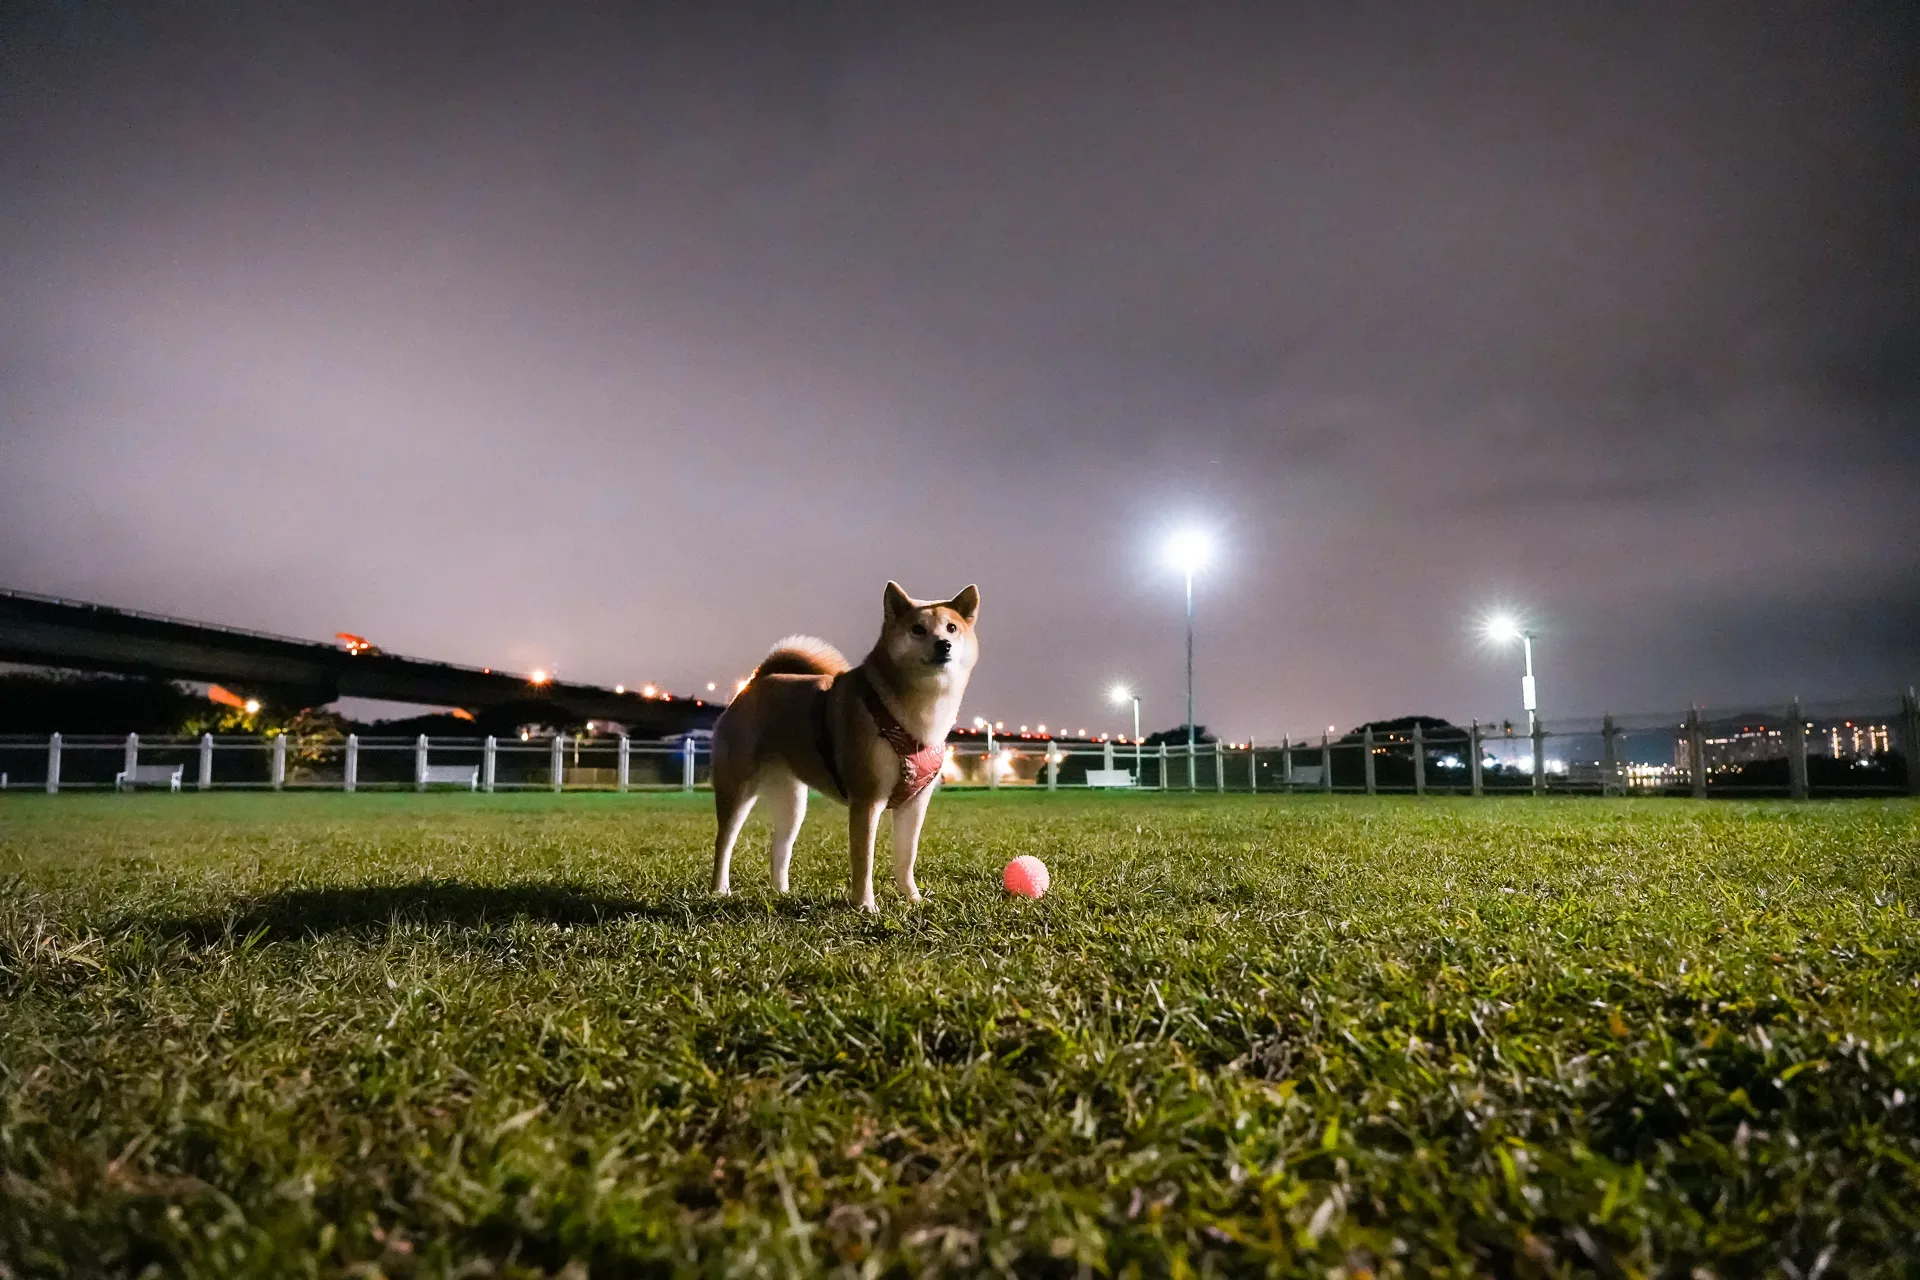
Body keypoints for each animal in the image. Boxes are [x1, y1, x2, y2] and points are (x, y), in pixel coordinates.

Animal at [706, 579, 975, 909]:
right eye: (917, 629)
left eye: (951, 628)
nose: (943, 644)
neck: (922, 713)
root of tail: (755, 682)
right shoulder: (867, 800)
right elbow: (864, 861)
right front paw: (866, 906)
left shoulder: (914, 803)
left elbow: (906, 858)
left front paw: (913, 899)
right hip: (737, 789)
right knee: (724, 842)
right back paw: (720, 890)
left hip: (792, 801)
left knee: (779, 845)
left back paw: (781, 892)